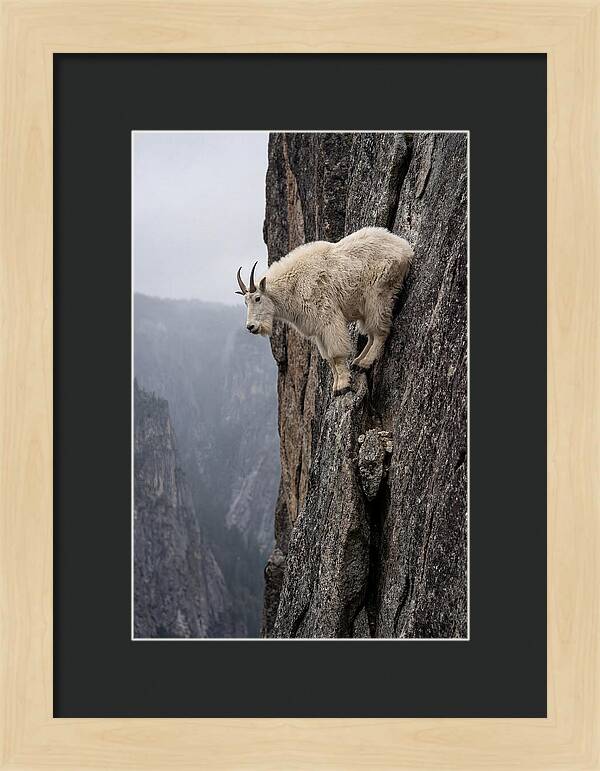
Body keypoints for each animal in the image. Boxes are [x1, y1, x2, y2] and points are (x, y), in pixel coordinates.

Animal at [235, 227, 413, 394]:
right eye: (245, 302)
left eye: (257, 298)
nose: (251, 327)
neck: (293, 286)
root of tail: (405, 248)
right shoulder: (318, 330)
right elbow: (328, 358)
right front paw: (336, 385)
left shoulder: (328, 318)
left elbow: (336, 354)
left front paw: (343, 386)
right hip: (365, 306)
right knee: (371, 333)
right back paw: (357, 362)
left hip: (378, 294)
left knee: (380, 331)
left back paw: (365, 363)